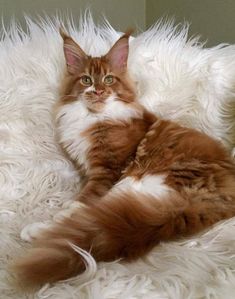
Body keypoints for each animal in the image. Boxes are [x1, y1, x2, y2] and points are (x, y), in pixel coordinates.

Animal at [11, 29, 235, 290]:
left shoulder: (108, 171)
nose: (98, 91)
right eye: (86, 80)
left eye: (109, 80)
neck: (93, 118)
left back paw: (37, 230)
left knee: (86, 218)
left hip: (138, 180)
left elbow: (80, 203)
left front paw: (61, 213)